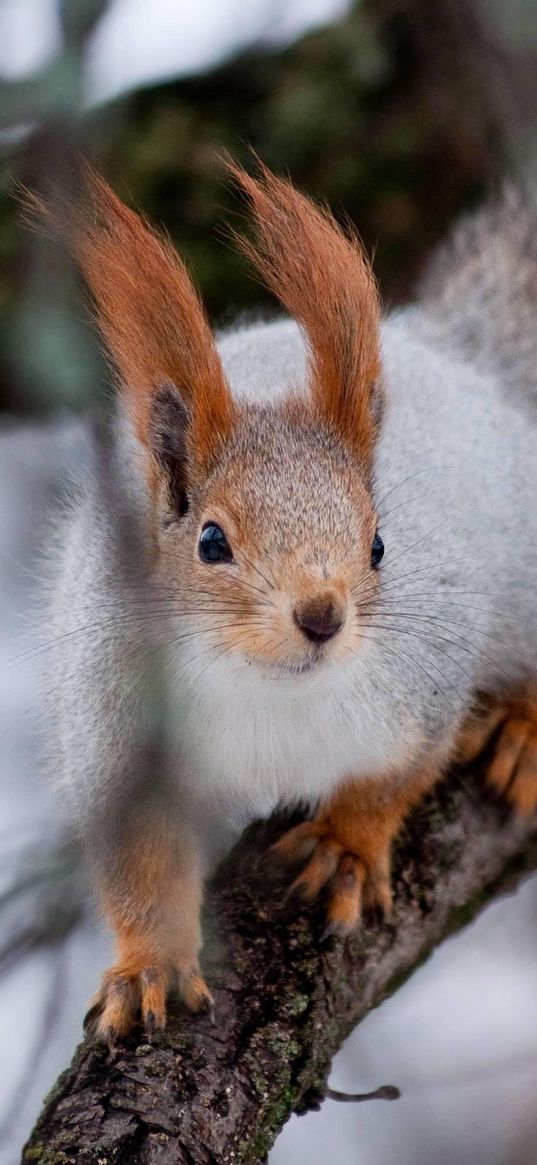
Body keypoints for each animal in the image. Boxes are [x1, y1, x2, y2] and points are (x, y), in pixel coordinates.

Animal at [29, 159, 535, 1043]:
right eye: (210, 542)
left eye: (378, 543)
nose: (321, 615)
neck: (260, 687)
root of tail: (460, 363)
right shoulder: (119, 731)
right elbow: (140, 867)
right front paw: (149, 964)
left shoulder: (424, 680)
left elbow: (394, 777)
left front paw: (344, 845)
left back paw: (519, 728)